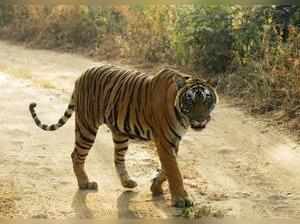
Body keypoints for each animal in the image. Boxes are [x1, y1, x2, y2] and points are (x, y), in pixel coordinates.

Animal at [28, 65, 218, 208]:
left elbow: (167, 169)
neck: (182, 116)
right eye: (190, 100)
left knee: (117, 158)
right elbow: (174, 171)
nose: (200, 119)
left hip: (120, 134)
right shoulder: (164, 141)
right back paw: (84, 183)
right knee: (76, 155)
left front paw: (155, 186)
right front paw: (181, 199)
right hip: (87, 126)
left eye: (207, 100)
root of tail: (82, 75)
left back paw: (127, 183)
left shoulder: (173, 141)